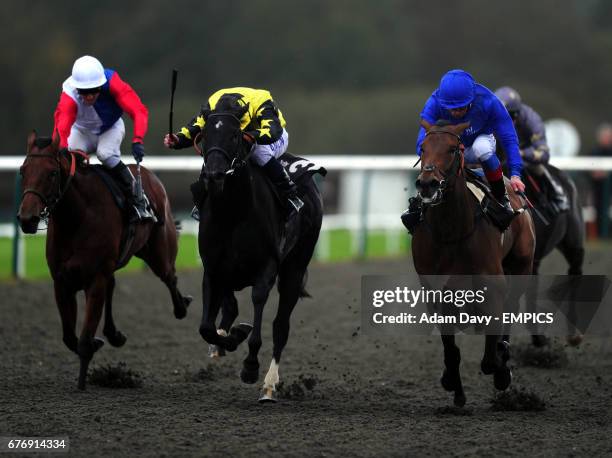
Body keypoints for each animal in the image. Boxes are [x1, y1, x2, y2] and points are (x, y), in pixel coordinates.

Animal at [17, 132, 191, 390]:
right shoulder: (62, 282)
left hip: (159, 251)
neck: (76, 218)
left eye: (51, 173)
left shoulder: (95, 279)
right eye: (23, 170)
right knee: (115, 285)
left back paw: (182, 305)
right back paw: (113, 334)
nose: (27, 219)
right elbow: (69, 337)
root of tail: (147, 174)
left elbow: (83, 338)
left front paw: (82, 382)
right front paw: (97, 343)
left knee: (170, 276)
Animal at [195, 99, 326, 400]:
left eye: (234, 135)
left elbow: (258, 314)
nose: (214, 174)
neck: (232, 212)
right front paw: (229, 337)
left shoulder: (266, 268)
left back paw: (268, 385)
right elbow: (207, 327)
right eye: (205, 134)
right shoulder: (213, 269)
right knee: (229, 307)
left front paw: (250, 366)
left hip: (294, 267)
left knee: (280, 326)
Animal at [412, 120, 536, 406]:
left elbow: (490, 358)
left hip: (522, 267)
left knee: (510, 312)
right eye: (422, 148)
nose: (427, 184)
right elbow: (451, 350)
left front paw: (501, 370)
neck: (451, 232)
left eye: (452, 149)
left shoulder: (492, 288)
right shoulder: (437, 294)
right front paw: (453, 386)